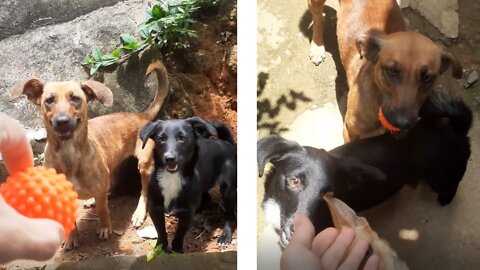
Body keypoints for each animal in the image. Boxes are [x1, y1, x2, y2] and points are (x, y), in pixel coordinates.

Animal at [10, 62, 170, 248]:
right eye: (49, 100)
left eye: (75, 98)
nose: (62, 121)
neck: (69, 155)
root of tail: (141, 115)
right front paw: (72, 238)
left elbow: (103, 210)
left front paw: (104, 228)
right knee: (111, 183)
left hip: (144, 165)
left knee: (142, 191)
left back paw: (138, 213)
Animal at [139, 116, 236, 253]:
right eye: (161, 138)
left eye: (182, 138)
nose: (169, 158)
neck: (172, 178)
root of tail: (225, 143)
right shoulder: (155, 209)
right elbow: (161, 232)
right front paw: (160, 248)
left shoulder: (187, 214)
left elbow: (179, 235)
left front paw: (177, 250)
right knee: (207, 198)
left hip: (228, 190)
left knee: (230, 215)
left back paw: (225, 235)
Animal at [308, 0, 462, 142]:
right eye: (392, 71)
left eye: (427, 77)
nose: (402, 122)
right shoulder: (350, 132)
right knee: (317, 17)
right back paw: (317, 46)